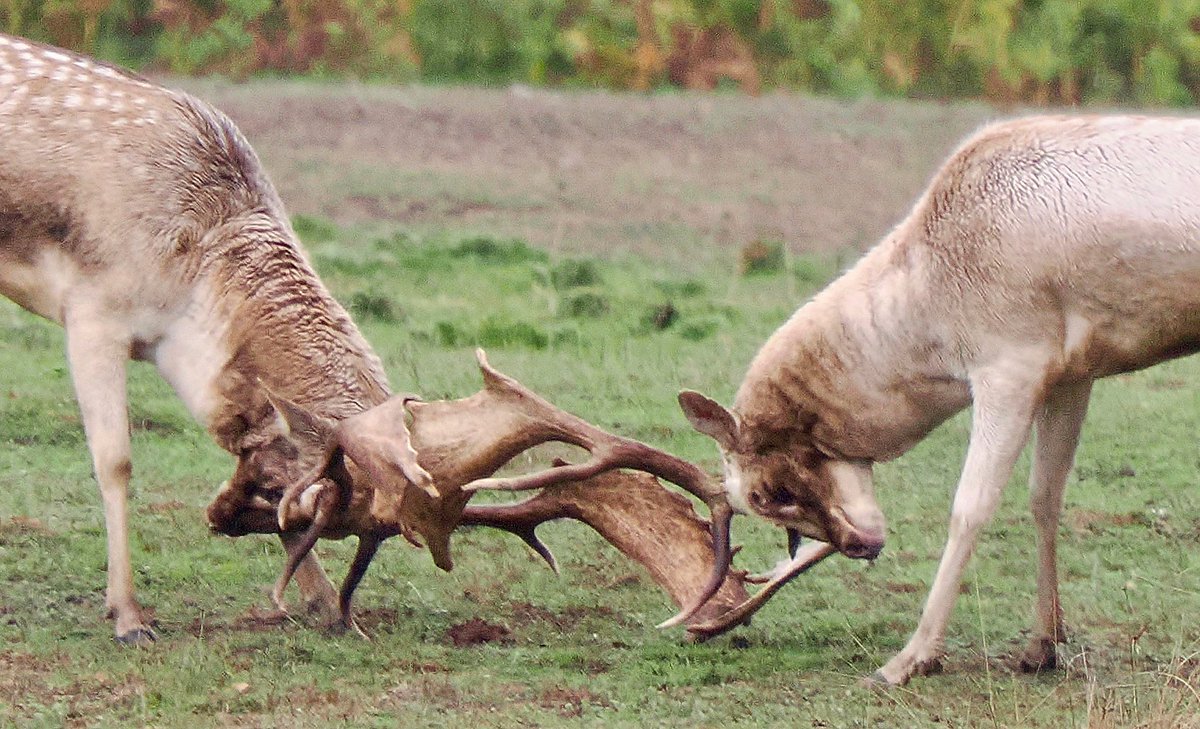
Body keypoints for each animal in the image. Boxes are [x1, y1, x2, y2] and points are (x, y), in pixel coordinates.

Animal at [678, 115, 1200, 686]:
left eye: (770, 494)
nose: (861, 546)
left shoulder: (1008, 368)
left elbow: (970, 507)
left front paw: (907, 660)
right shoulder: (1070, 374)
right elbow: (1045, 496)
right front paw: (1041, 646)